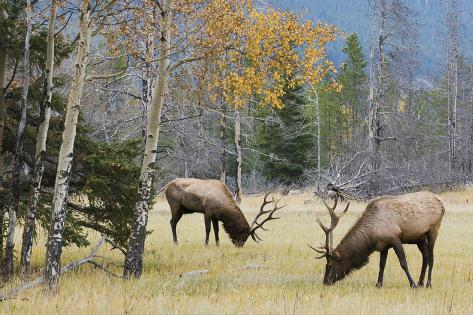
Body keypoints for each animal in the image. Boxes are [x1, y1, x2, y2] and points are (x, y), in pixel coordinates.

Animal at [308, 191, 444, 288]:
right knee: (425, 256)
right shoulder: (383, 245)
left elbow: (403, 262)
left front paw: (412, 284)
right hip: (419, 238)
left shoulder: (394, 238)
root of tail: (441, 203)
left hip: (433, 229)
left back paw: (427, 284)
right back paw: (421, 282)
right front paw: (378, 284)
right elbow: (381, 265)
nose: (325, 282)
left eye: (329, 265)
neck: (371, 238)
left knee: (431, 257)